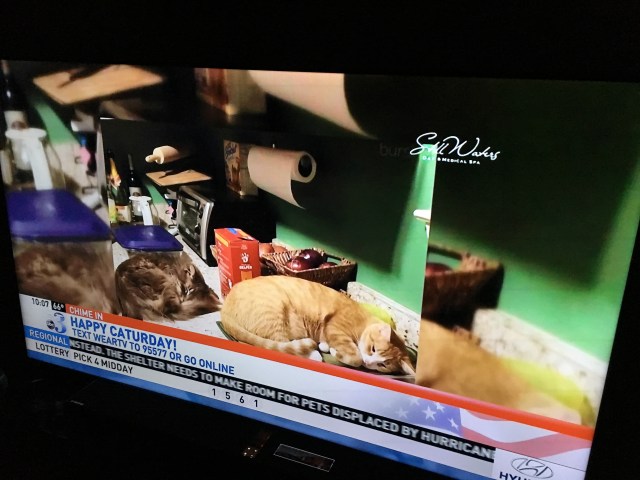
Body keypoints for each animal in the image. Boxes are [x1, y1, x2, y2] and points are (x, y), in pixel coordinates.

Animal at [220, 275, 415, 375]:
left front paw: (329, 348)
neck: (363, 321)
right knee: (276, 347)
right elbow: (355, 358)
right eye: (373, 349)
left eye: (383, 365)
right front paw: (339, 353)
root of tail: (225, 307)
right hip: (274, 311)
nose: (370, 362)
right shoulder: (336, 328)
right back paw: (313, 355)